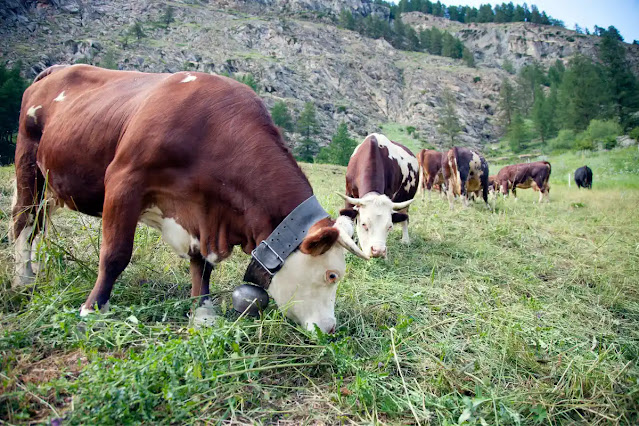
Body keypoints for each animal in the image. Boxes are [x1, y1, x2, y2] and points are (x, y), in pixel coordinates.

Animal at [11, 65, 370, 334]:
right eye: (332, 275)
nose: (331, 328)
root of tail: (57, 69)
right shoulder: (123, 180)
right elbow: (115, 254)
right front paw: (93, 308)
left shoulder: (202, 212)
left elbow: (202, 265)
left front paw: (203, 310)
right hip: (29, 167)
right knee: (23, 221)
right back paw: (23, 279)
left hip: (52, 187)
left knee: (38, 224)